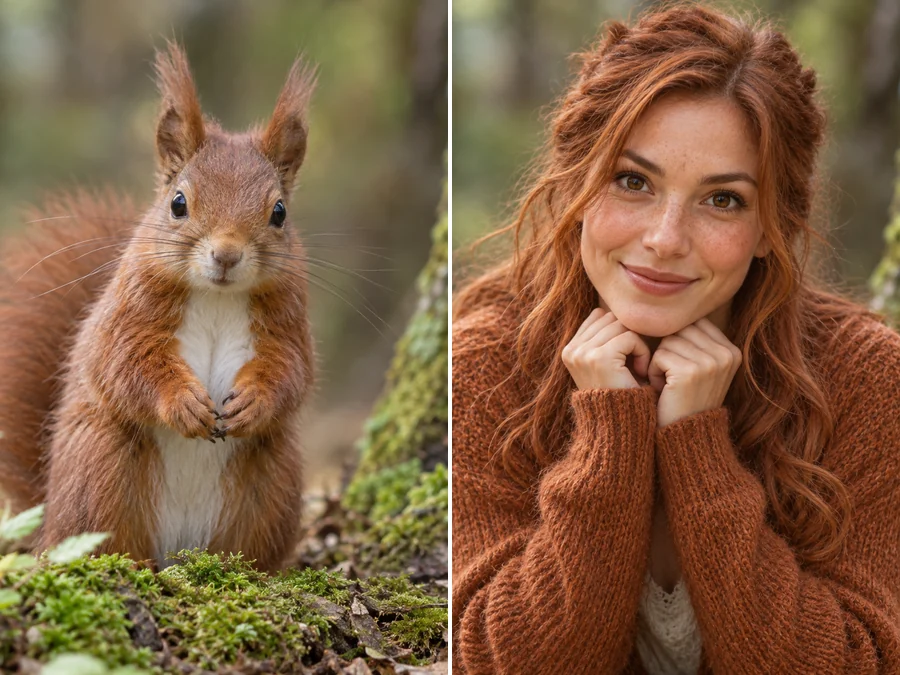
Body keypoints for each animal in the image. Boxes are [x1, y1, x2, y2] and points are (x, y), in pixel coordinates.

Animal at [0, 43, 316, 572]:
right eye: (178, 203)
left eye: (279, 213)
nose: (226, 255)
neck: (217, 296)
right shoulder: (126, 315)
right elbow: (125, 364)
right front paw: (182, 403)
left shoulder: (289, 320)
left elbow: (293, 371)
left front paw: (255, 400)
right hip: (103, 468)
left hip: (272, 481)